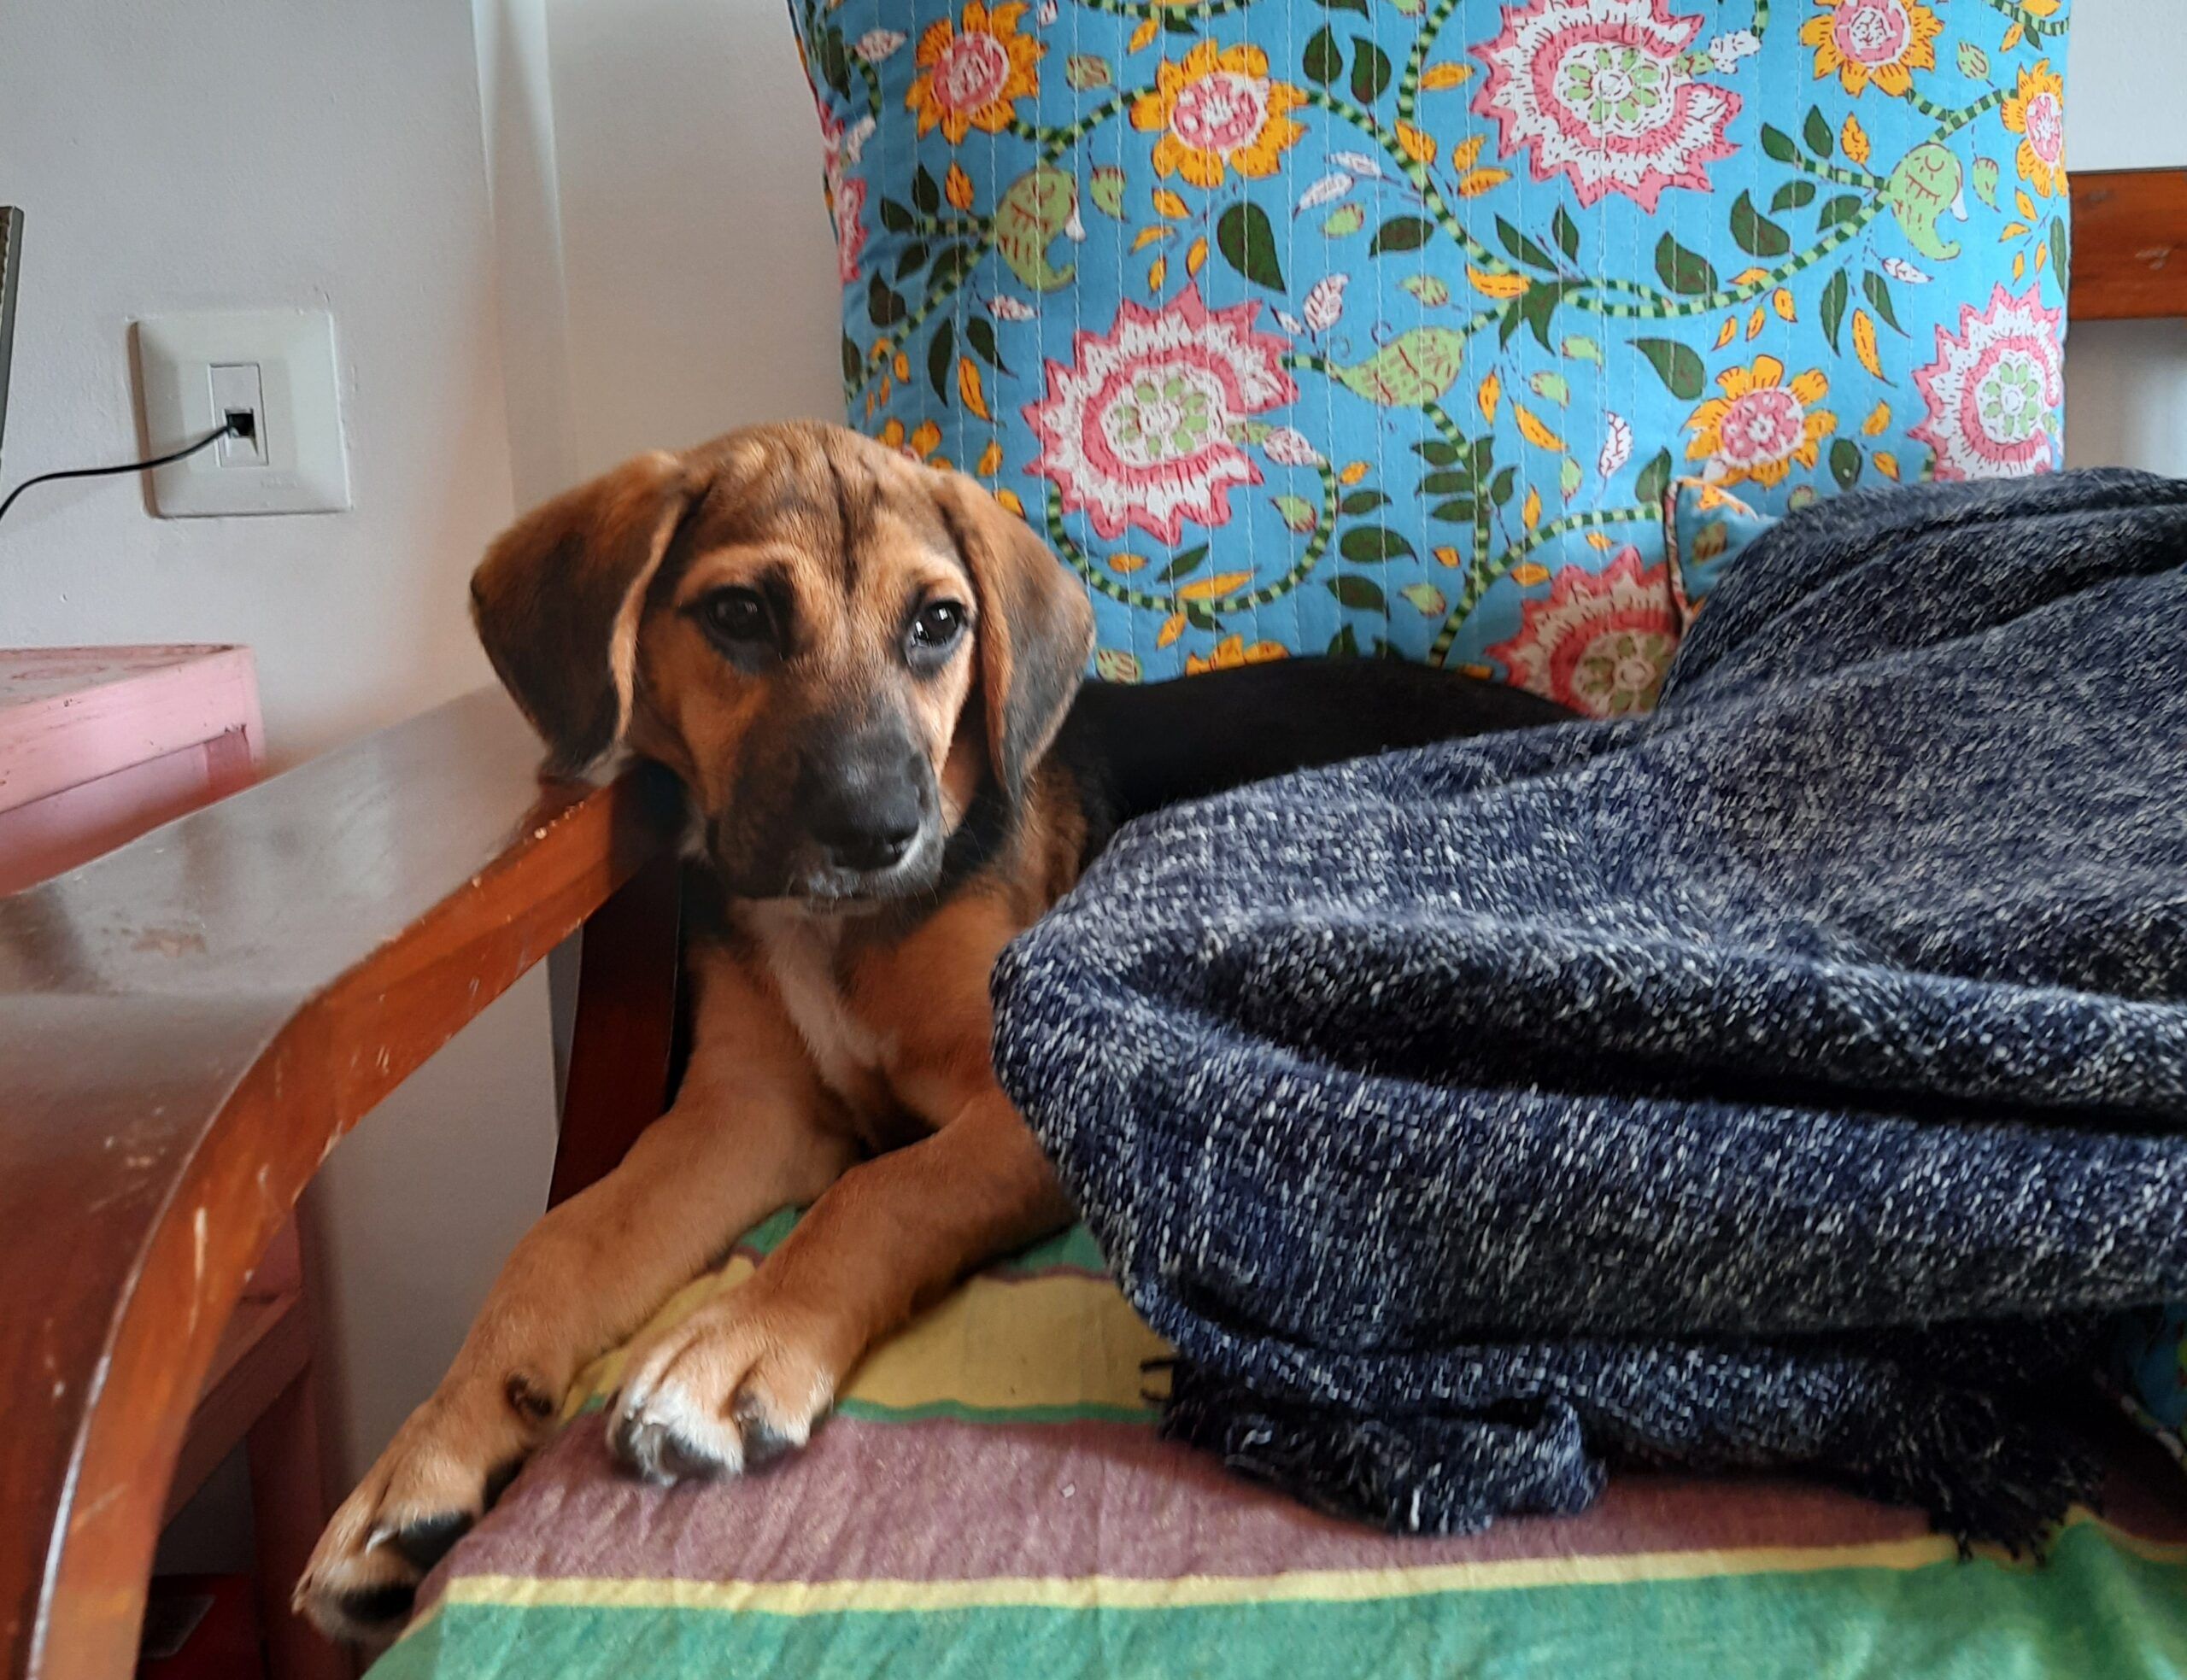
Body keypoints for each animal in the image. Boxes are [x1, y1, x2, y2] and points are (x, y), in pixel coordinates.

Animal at [299, 419, 1565, 1645]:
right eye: (740, 614)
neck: (829, 926)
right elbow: (556, 1240)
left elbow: (883, 1192)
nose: (875, 830)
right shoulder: (749, 1112)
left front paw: (740, 1337)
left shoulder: (1026, 1094)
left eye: (938, 622)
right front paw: (426, 1453)